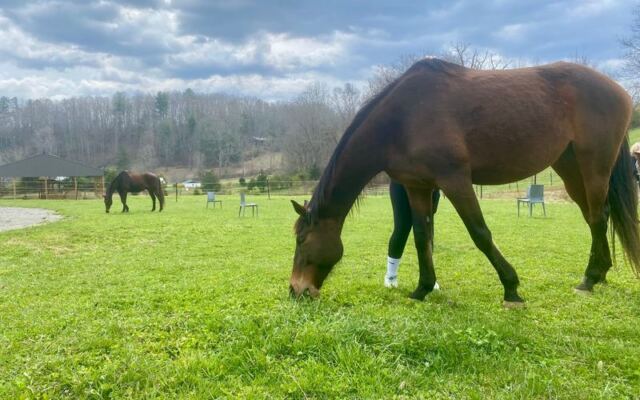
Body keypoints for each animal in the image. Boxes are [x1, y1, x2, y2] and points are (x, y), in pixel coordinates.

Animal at [290, 58, 640, 307]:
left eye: (302, 240)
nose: (296, 289)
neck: (402, 119)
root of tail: (619, 91)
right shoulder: (418, 187)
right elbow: (421, 236)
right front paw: (422, 289)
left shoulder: (455, 180)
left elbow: (480, 233)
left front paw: (511, 288)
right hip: (570, 169)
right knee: (595, 217)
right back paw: (599, 273)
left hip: (594, 166)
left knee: (598, 216)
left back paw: (589, 280)